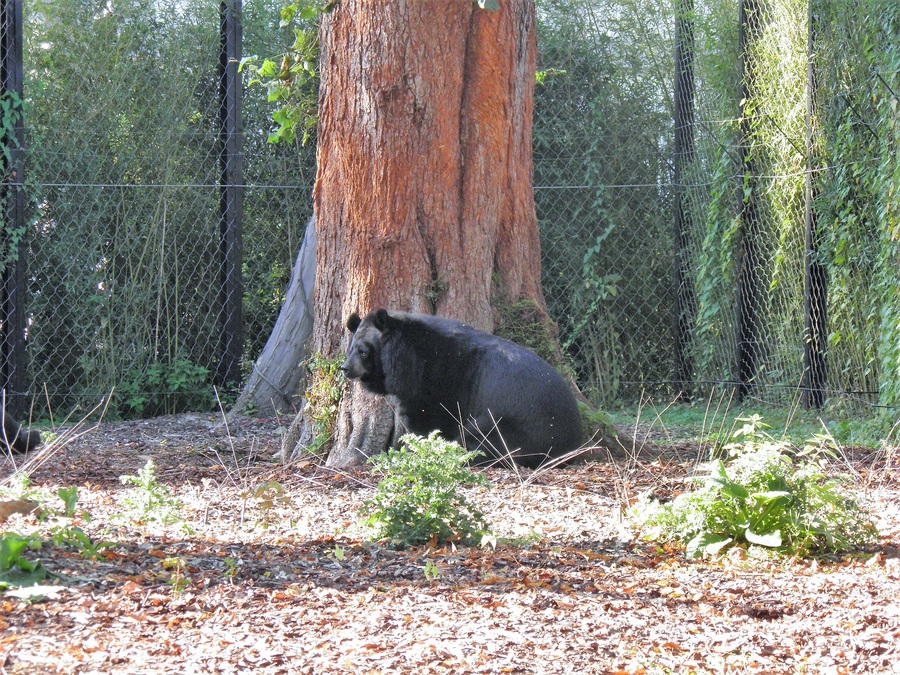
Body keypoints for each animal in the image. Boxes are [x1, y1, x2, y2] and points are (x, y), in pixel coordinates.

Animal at [340, 308, 584, 468]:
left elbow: (430, 418)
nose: (345, 368)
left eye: (363, 351)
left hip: (514, 423)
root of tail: (573, 441)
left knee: (486, 440)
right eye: (350, 349)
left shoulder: (438, 378)